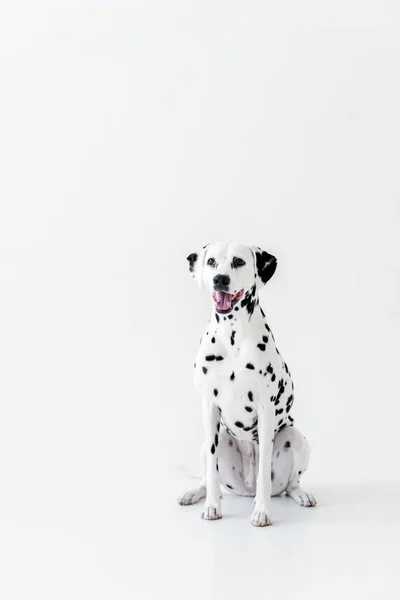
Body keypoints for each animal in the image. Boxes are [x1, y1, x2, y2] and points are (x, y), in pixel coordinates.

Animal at [177, 243, 316, 524]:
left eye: (239, 261)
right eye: (211, 262)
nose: (220, 279)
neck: (232, 337)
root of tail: (246, 489)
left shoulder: (265, 410)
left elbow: (264, 472)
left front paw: (262, 511)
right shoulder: (209, 407)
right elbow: (212, 472)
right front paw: (212, 506)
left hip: (295, 438)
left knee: (290, 484)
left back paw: (300, 494)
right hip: (211, 440)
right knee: (207, 478)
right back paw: (194, 493)